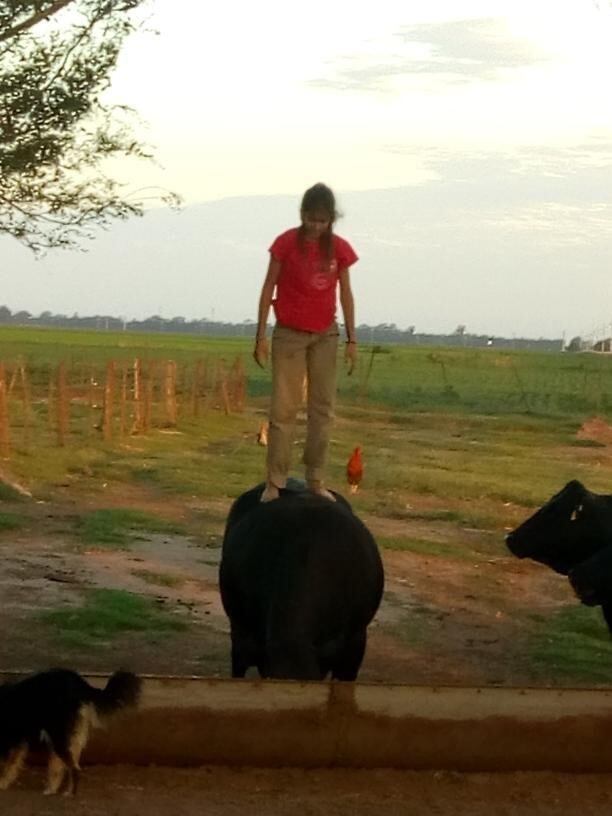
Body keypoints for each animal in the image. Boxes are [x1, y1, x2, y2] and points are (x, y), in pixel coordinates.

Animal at [0, 668, 140, 796]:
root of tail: (79, 682)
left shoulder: (11, 742)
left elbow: (7, 765)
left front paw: (2, 783)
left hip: (58, 736)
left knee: (72, 767)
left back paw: (69, 792)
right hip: (66, 737)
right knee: (67, 764)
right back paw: (54, 789)